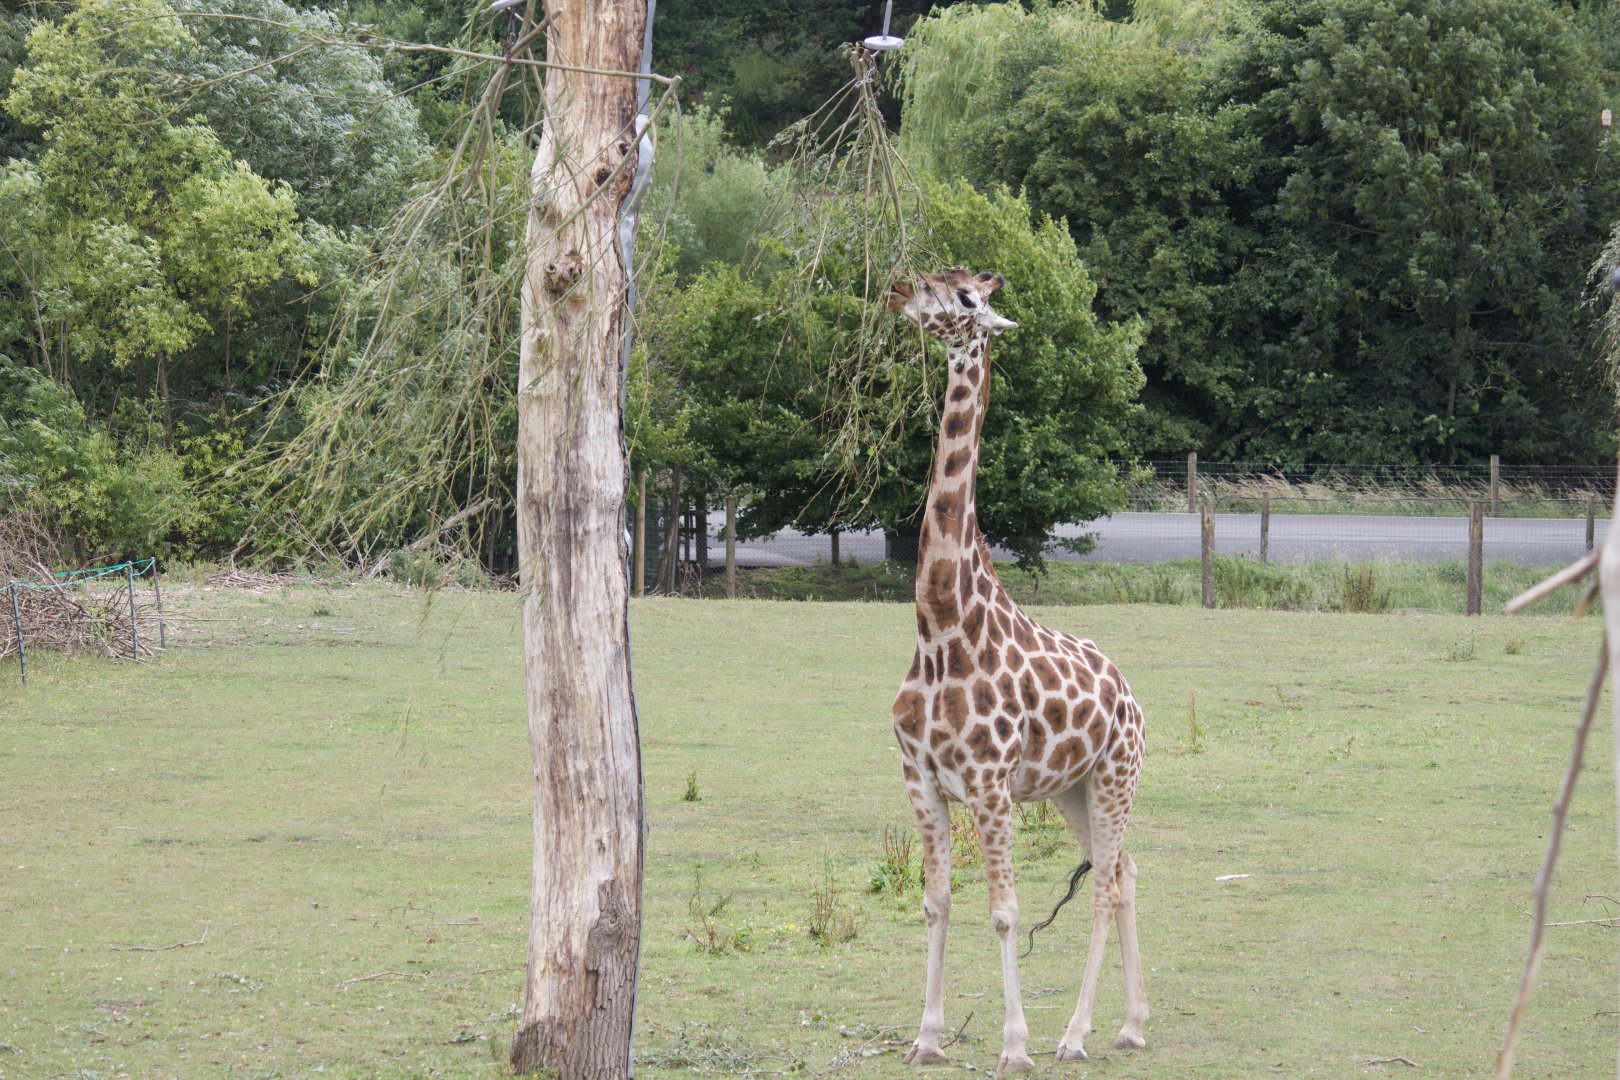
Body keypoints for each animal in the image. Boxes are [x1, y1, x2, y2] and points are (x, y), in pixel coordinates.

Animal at [886, 269, 1148, 1071]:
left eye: (967, 298)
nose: (899, 290)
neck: (940, 629)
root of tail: (1131, 696)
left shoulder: (990, 784)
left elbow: (1004, 911)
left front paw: (1015, 1046)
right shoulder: (921, 780)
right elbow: (936, 901)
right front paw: (926, 1038)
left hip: (1117, 774)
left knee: (1105, 886)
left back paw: (1073, 1036)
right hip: (1072, 789)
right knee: (1125, 873)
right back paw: (1131, 1025)